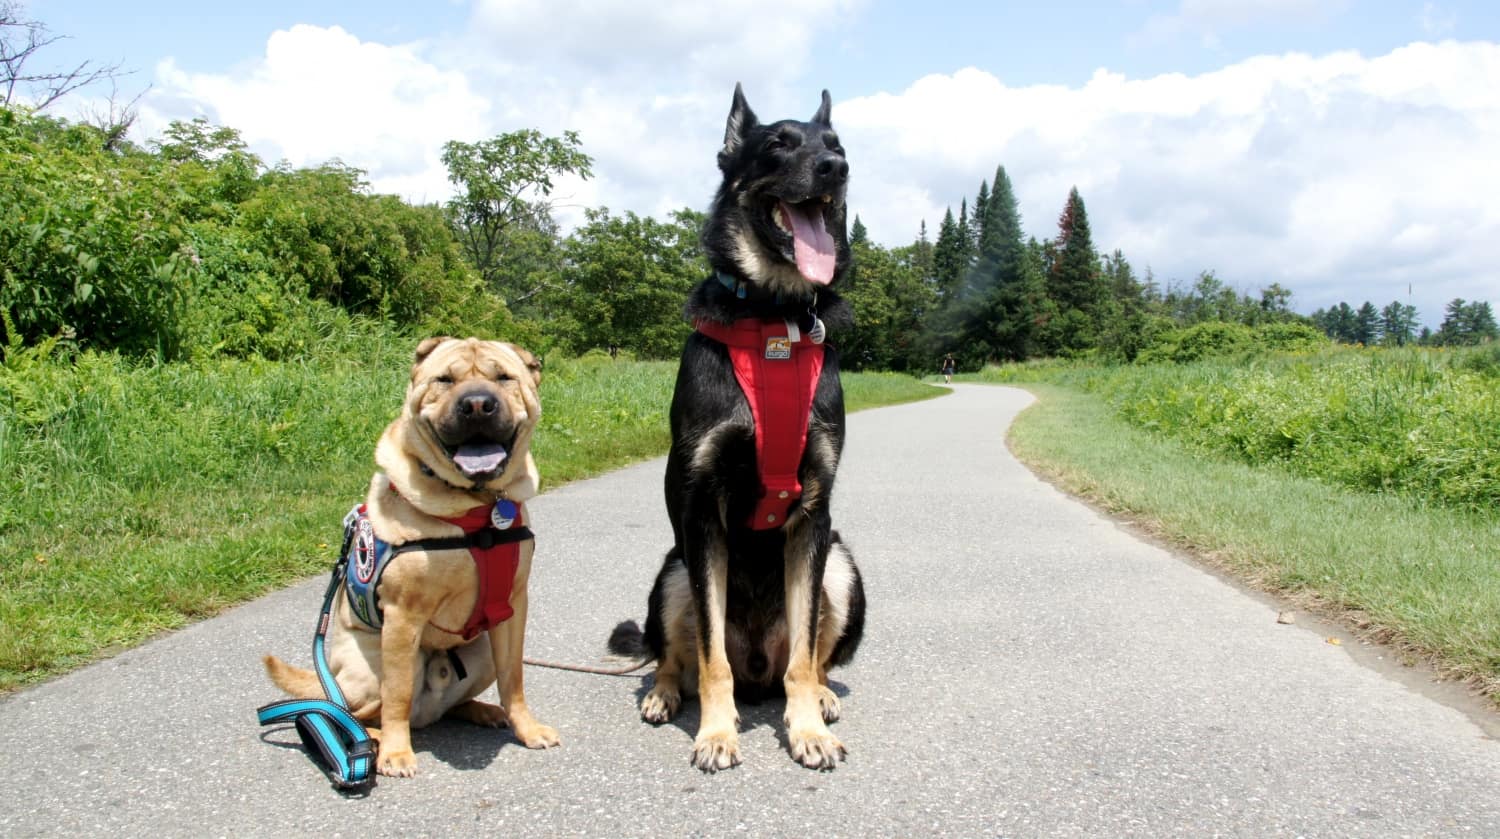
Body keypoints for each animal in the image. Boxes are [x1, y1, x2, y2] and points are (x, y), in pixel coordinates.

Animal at [609, 87, 870, 774]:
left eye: (836, 145)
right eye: (778, 143)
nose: (836, 169)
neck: (773, 317)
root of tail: (760, 669)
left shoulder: (813, 520)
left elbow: (804, 657)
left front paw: (807, 729)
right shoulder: (702, 517)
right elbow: (709, 659)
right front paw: (717, 733)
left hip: (841, 565)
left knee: (810, 657)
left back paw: (823, 697)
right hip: (673, 571)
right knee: (673, 655)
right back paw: (665, 695)